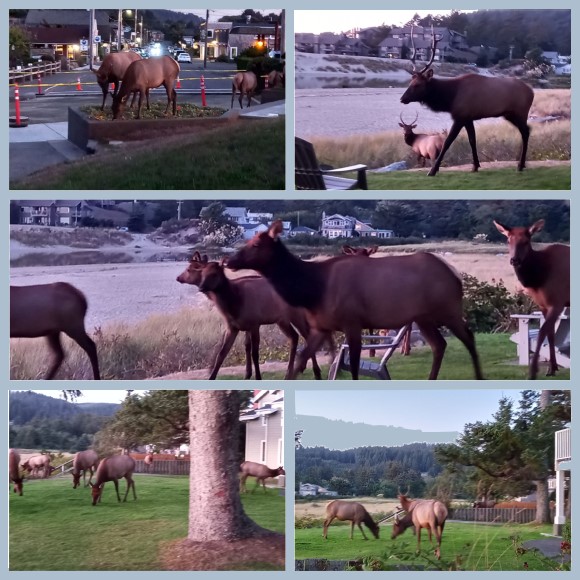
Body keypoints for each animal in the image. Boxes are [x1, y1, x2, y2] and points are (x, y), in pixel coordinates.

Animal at [177, 253, 322, 380]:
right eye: (202, 273)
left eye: (214, 274)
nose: (201, 288)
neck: (234, 305)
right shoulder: (233, 327)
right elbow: (223, 353)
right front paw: (212, 377)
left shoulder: (254, 323)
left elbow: (254, 353)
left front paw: (257, 377)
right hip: (282, 319)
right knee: (294, 337)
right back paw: (290, 374)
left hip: (297, 314)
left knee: (308, 336)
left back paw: (316, 372)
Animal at [228, 221, 484, 380]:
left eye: (256, 244)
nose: (228, 261)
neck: (312, 289)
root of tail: (455, 273)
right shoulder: (321, 326)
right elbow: (300, 362)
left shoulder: (352, 321)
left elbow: (352, 367)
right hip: (424, 317)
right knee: (439, 344)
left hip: (448, 308)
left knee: (469, 337)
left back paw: (479, 375)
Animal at [402, 23, 532, 177]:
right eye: (410, 82)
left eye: (417, 85)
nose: (402, 98)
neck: (450, 98)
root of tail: (532, 91)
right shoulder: (468, 118)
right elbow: (472, 140)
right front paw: (475, 166)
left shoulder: (460, 116)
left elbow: (447, 142)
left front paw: (433, 170)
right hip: (509, 114)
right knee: (527, 130)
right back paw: (521, 163)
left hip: (520, 112)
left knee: (525, 131)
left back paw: (520, 165)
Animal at [494, 220, 572, 378]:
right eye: (508, 240)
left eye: (526, 241)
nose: (514, 260)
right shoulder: (543, 305)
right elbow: (550, 334)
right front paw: (552, 368)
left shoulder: (558, 302)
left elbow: (542, 332)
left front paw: (533, 370)